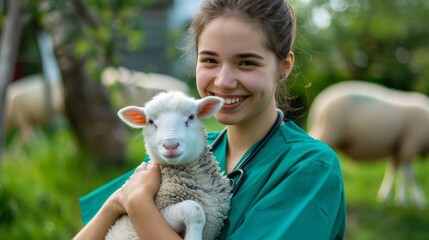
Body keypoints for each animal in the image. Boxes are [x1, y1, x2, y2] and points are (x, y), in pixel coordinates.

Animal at [308, 80, 428, 208]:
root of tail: (318, 103)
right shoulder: (410, 145)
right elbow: (411, 176)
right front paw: (418, 201)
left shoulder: (399, 148)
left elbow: (395, 171)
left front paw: (393, 197)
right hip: (328, 131)